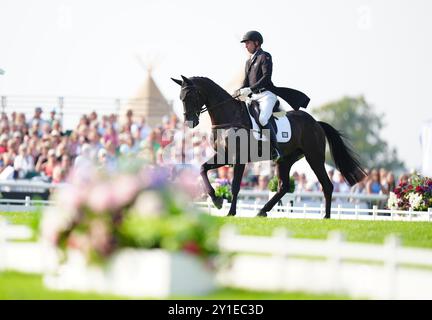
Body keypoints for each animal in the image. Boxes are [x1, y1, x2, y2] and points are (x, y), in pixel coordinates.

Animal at [170, 76, 366, 219]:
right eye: (181, 98)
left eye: (191, 96)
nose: (189, 122)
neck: (229, 117)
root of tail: (316, 123)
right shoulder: (224, 156)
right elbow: (202, 169)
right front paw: (217, 200)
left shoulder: (239, 159)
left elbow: (235, 186)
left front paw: (231, 212)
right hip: (285, 160)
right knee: (284, 187)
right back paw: (262, 211)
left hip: (314, 158)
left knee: (327, 185)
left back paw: (326, 217)